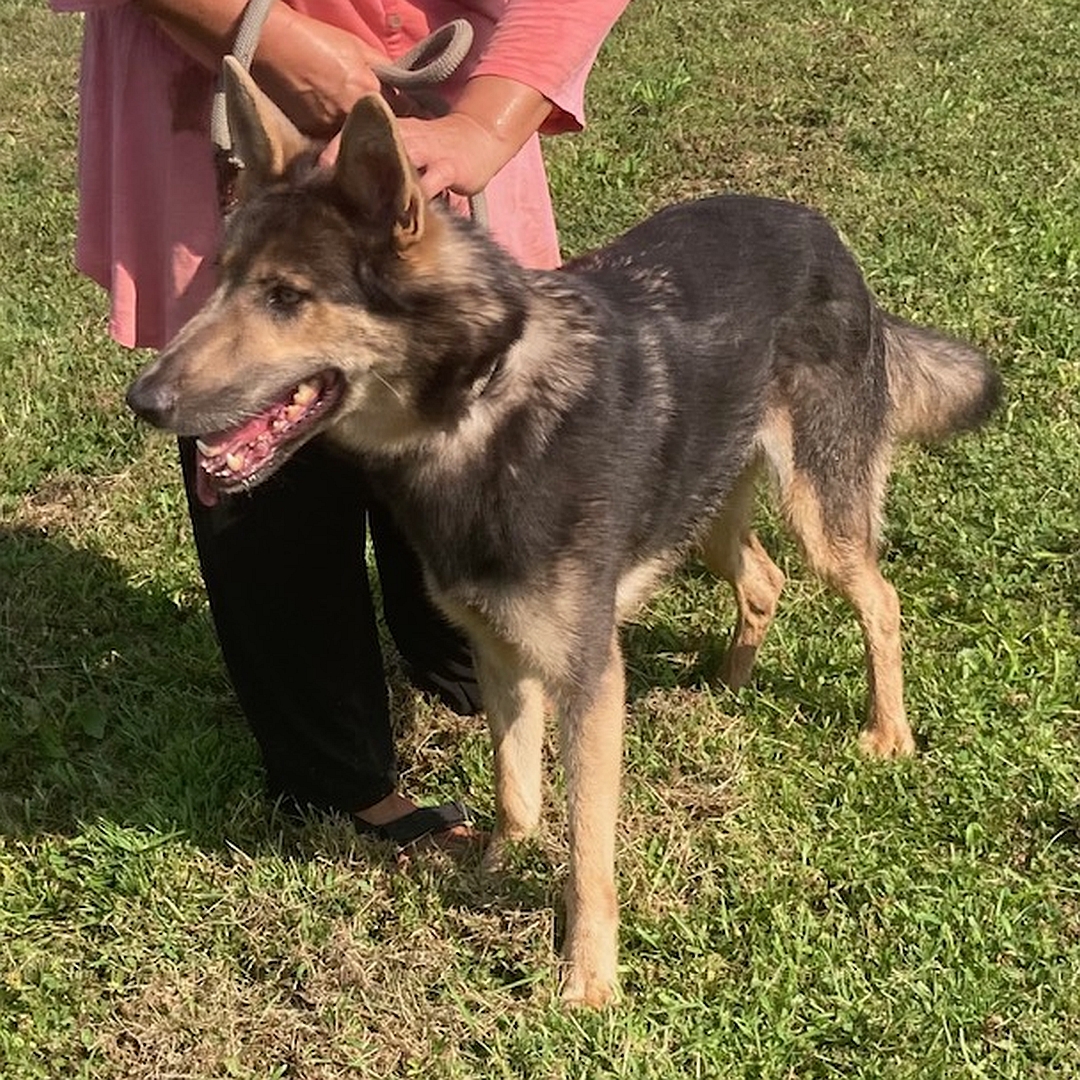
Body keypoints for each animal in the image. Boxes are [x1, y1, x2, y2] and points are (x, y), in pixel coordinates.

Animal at [128, 56, 1002, 1002]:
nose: (144, 401)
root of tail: (822, 233)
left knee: (879, 599)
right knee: (765, 580)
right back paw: (728, 683)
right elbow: (515, 786)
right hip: (699, 514)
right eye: (216, 280)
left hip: (819, 513)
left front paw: (588, 981)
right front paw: (494, 870)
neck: (478, 410)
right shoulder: (500, 651)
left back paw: (887, 734)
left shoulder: (588, 678)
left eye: (286, 297)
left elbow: (587, 852)